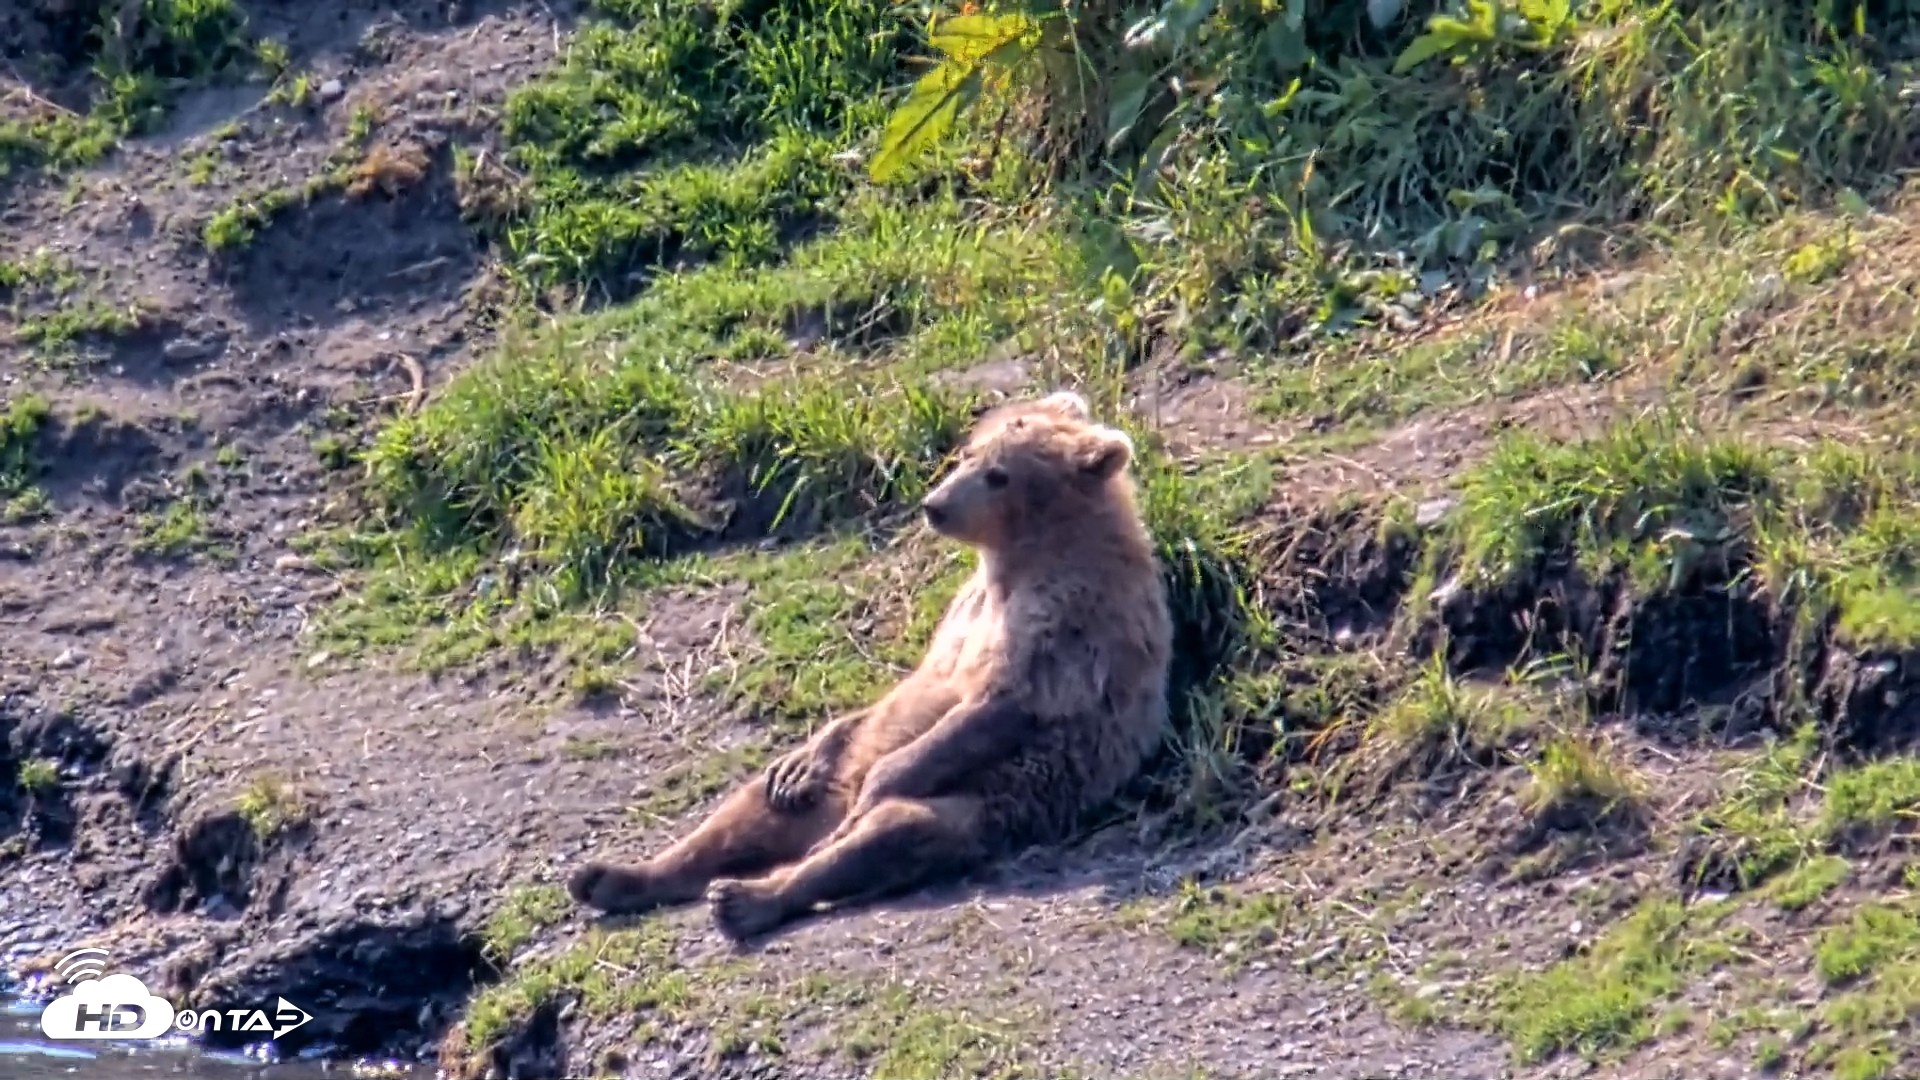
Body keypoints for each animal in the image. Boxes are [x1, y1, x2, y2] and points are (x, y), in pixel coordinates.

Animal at [567, 389, 1174, 941]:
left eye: (1000, 475)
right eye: (969, 453)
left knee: (888, 835)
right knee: (745, 812)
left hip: (989, 799)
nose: (936, 505)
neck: (1021, 559)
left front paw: (879, 785)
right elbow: (921, 678)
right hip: (825, 790)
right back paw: (613, 876)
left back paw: (751, 896)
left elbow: (1003, 702)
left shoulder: (1068, 619)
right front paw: (805, 756)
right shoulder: (968, 609)